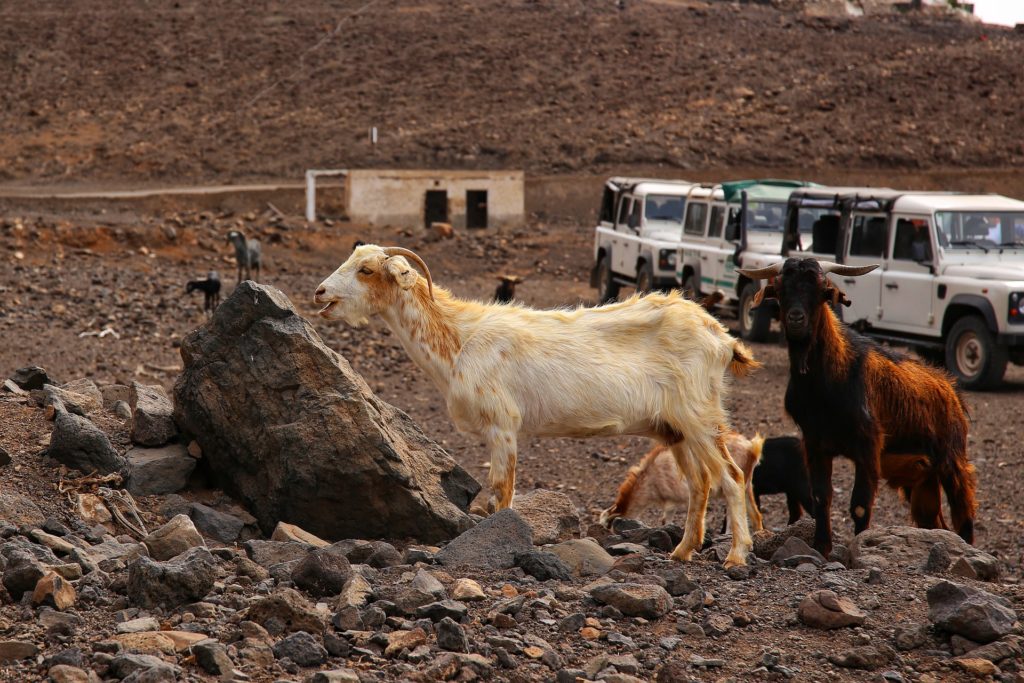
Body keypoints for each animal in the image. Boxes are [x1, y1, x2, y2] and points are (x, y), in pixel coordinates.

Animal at [317, 244, 761, 565]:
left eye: (366, 270)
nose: (321, 292)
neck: (461, 338)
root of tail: (722, 338)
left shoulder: (502, 425)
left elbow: (501, 491)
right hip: (675, 430)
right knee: (700, 483)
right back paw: (682, 552)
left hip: (701, 418)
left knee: (731, 478)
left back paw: (736, 556)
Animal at [741, 259, 970, 557]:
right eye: (779, 289)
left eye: (822, 290)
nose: (795, 319)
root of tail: (951, 391)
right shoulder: (815, 444)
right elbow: (820, 497)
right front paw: (821, 547)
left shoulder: (868, 446)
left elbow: (860, 505)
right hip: (920, 477)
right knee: (933, 521)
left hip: (952, 462)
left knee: (964, 517)